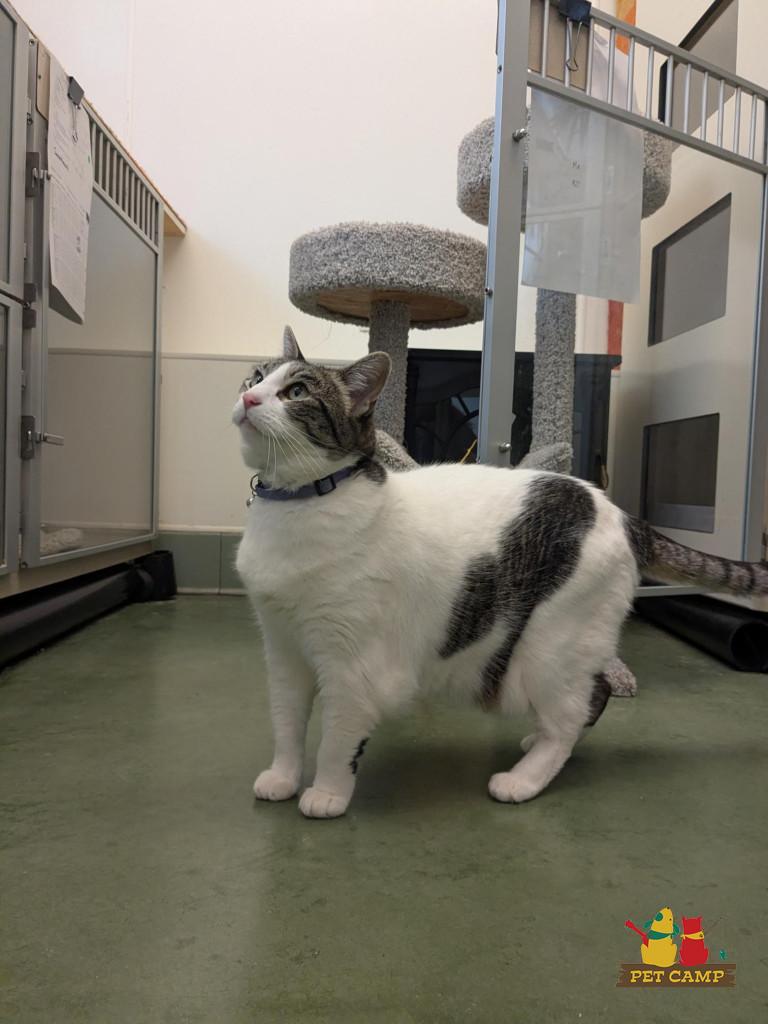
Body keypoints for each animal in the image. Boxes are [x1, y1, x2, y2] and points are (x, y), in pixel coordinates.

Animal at [234, 326, 768, 818]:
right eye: (257, 376)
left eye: (296, 392)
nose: (247, 397)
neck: (295, 509)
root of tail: (619, 512)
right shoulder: (282, 650)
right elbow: (286, 722)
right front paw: (283, 777)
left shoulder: (353, 666)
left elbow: (336, 737)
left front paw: (326, 793)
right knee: (589, 695)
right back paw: (536, 743)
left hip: (549, 646)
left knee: (574, 710)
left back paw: (525, 778)